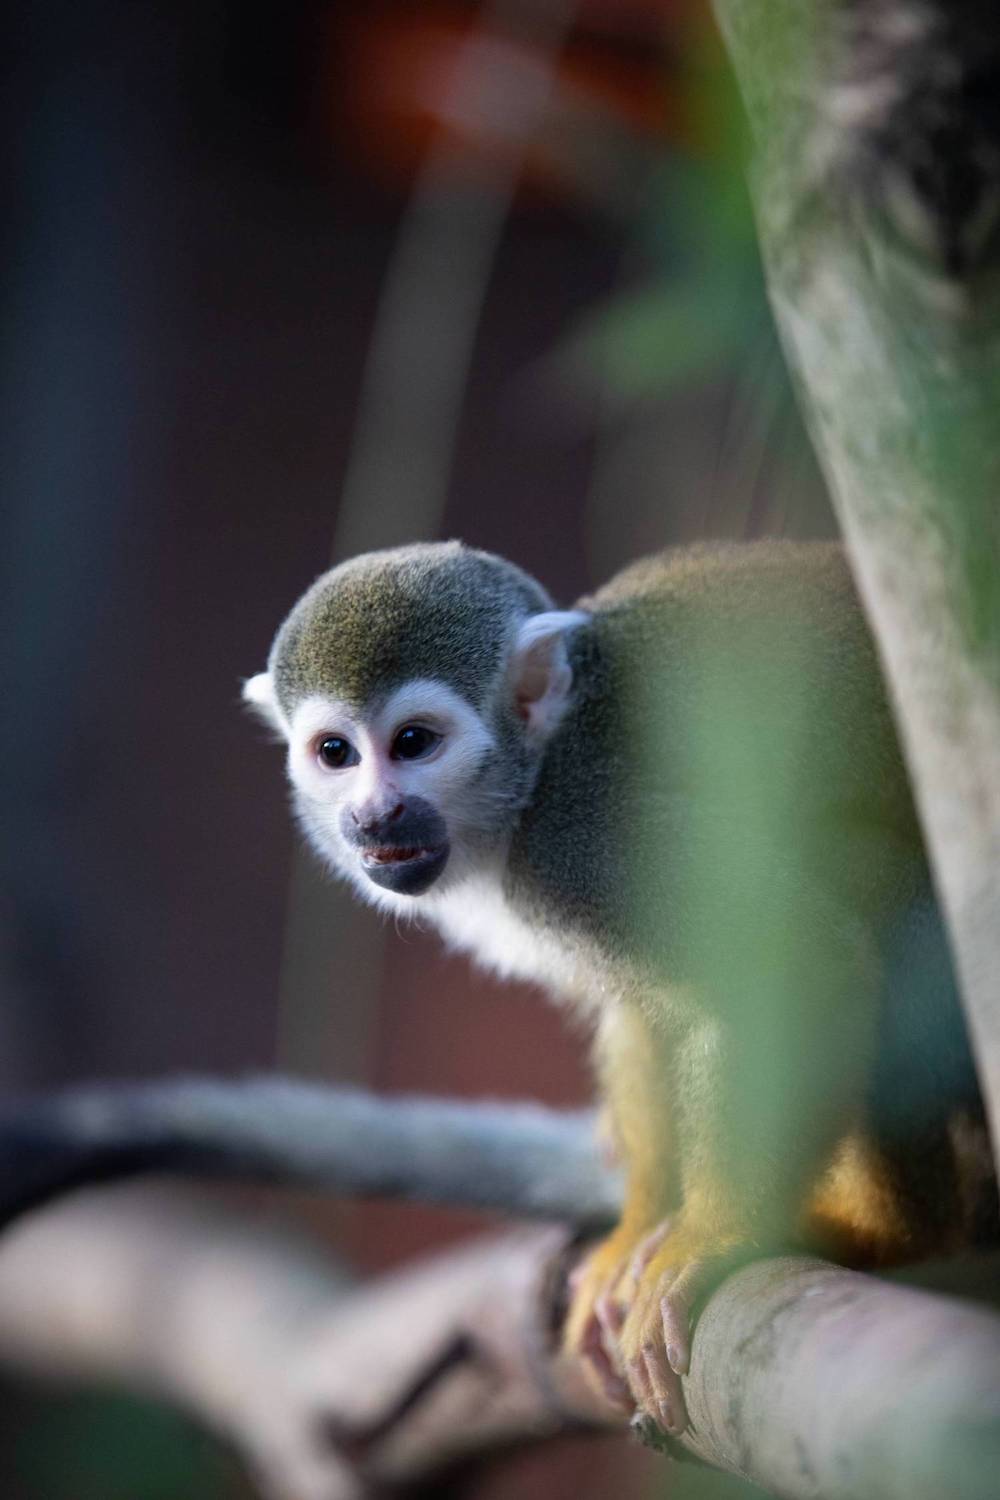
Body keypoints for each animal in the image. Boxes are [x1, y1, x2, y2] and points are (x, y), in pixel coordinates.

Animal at [245, 540, 989, 1428]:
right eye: (336, 753)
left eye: (415, 742)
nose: (374, 816)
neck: (537, 773)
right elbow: (648, 1011)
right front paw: (636, 1235)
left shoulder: (587, 843)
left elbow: (800, 964)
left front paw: (718, 1237)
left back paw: (900, 1232)